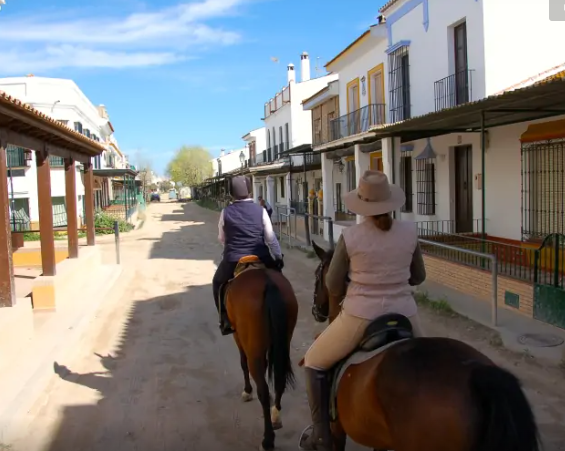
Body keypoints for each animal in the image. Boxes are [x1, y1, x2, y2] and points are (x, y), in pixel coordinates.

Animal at [221, 256, 300, 450]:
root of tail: (268, 283)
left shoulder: (238, 336)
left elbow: (243, 363)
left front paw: (247, 391)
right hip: (284, 339)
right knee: (279, 379)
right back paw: (276, 416)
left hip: (252, 346)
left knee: (262, 389)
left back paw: (267, 440)